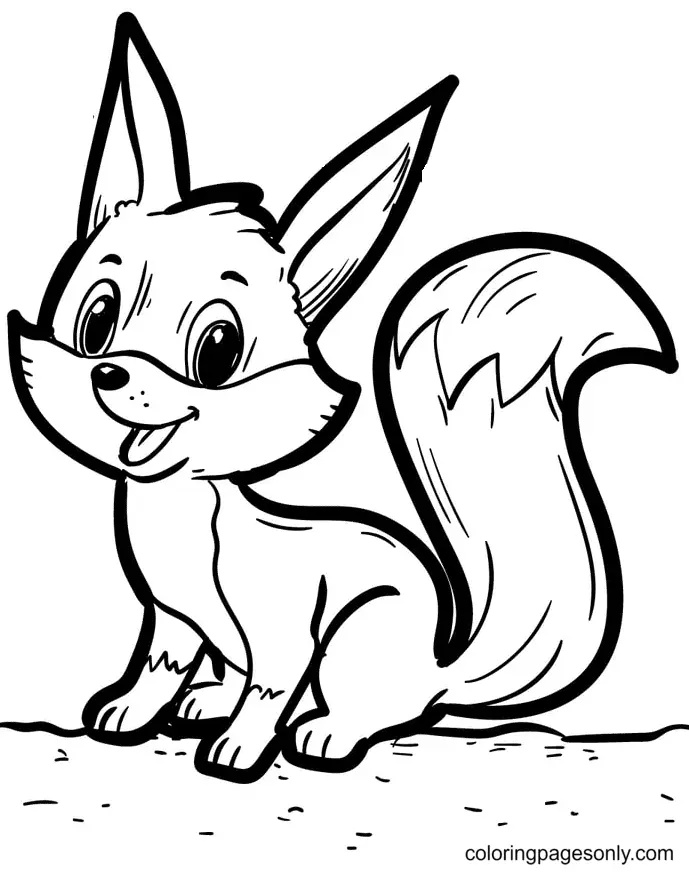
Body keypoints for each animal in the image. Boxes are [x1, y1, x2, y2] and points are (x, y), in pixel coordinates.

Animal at [8, 12, 677, 783]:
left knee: (369, 709)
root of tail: (437, 670)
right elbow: (159, 666)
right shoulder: (172, 619)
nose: (109, 374)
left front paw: (239, 751)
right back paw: (207, 703)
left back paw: (324, 732)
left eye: (217, 349)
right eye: (97, 320)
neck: (180, 519)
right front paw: (127, 711)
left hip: (359, 638)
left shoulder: (284, 628)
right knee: (237, 678)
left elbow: (271, 686)